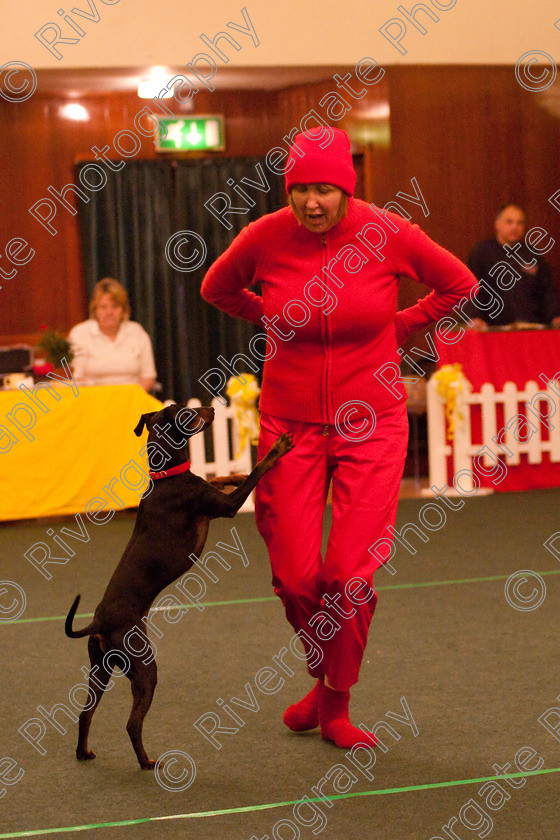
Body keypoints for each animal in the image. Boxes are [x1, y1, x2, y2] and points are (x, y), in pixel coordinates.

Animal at [65, 404, 294, 772]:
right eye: (189, 413)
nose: (212, 407)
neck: (166, 476)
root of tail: (97, 622)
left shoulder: (211, 494)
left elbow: (222, 479)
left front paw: (231, 473)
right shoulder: (225, 507)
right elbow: (255, 474)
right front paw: (276, 450)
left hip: (99, 669)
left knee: (85, 714)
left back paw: (83, 752)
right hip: (144, 668)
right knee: (131, 723)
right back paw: (147, 762)